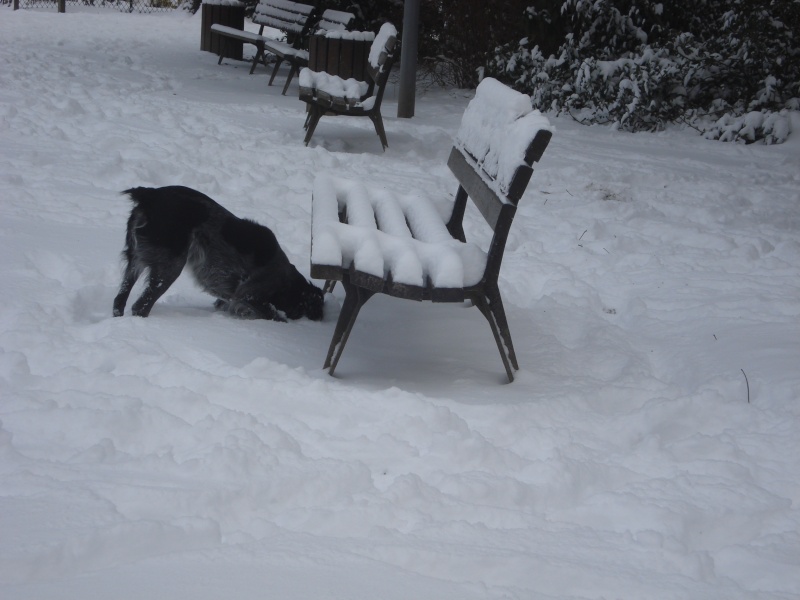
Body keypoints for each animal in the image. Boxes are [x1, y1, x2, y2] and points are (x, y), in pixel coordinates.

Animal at [113, 186, 324, 318]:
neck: (285, 280)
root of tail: (149, 196)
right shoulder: (247, 295)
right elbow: (274, 315)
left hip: (135, 261)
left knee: (119, 300)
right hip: (170, 266)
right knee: (140, 307)